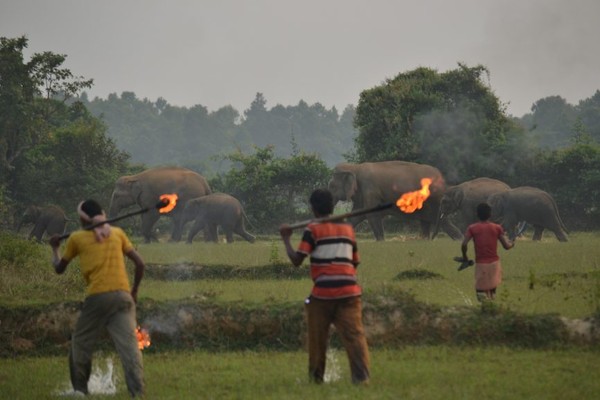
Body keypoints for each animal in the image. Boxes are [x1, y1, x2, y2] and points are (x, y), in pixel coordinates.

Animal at [328, 160, 464, 241]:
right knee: (429, 222)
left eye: (331, 186)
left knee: (443, 222)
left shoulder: (370, 190)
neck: (355, 167)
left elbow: (372, 215)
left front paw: (381, 242)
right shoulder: (362, 195)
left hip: (435, 201)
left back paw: (459, 240)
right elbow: (355, 216)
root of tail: (441, 178)